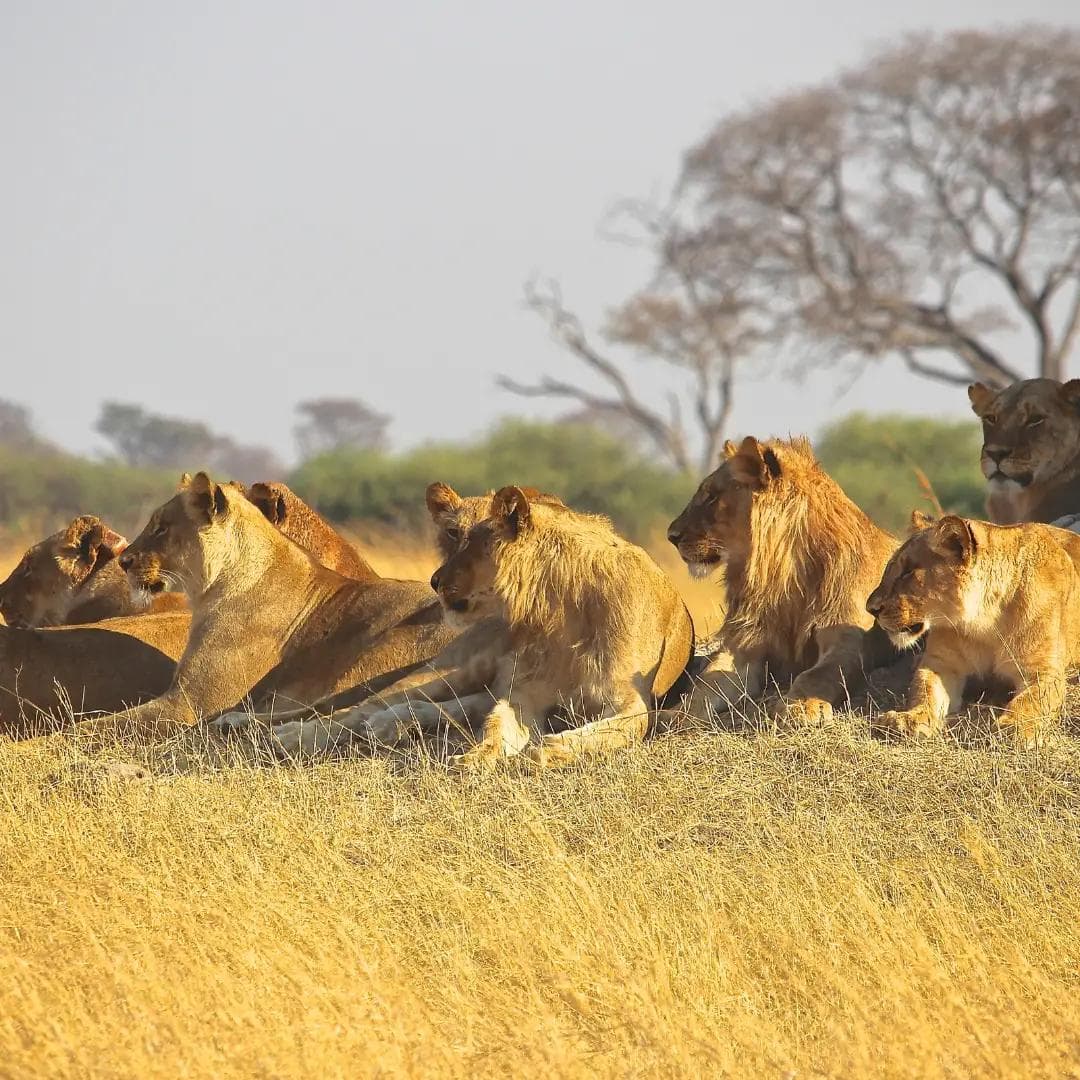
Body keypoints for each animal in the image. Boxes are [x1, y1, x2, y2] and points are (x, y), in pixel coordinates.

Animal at [72, 472, 456, 741]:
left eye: (162, 528)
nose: (125, 561)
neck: (212, 588)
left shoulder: (188, 704)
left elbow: (94, 727)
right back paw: (237, 723)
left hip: (380, 651)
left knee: (348, 707)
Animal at [664, 436, 900, 724]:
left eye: (711, 496)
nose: (671, 535)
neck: (783, 575)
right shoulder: (744, 644)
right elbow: (707, 682)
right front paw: (677, 713)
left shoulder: (850, 641)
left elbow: (817, 675)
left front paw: (801, 706)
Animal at [866, 511, 1080, 747]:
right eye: (890, 569)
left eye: (908, 572)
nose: (870, 608)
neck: (986, 622)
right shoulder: (942, 664)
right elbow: (924, 689)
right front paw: (908, 719)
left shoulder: (1043, 671)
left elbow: (1030, 700)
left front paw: (1013, 726)